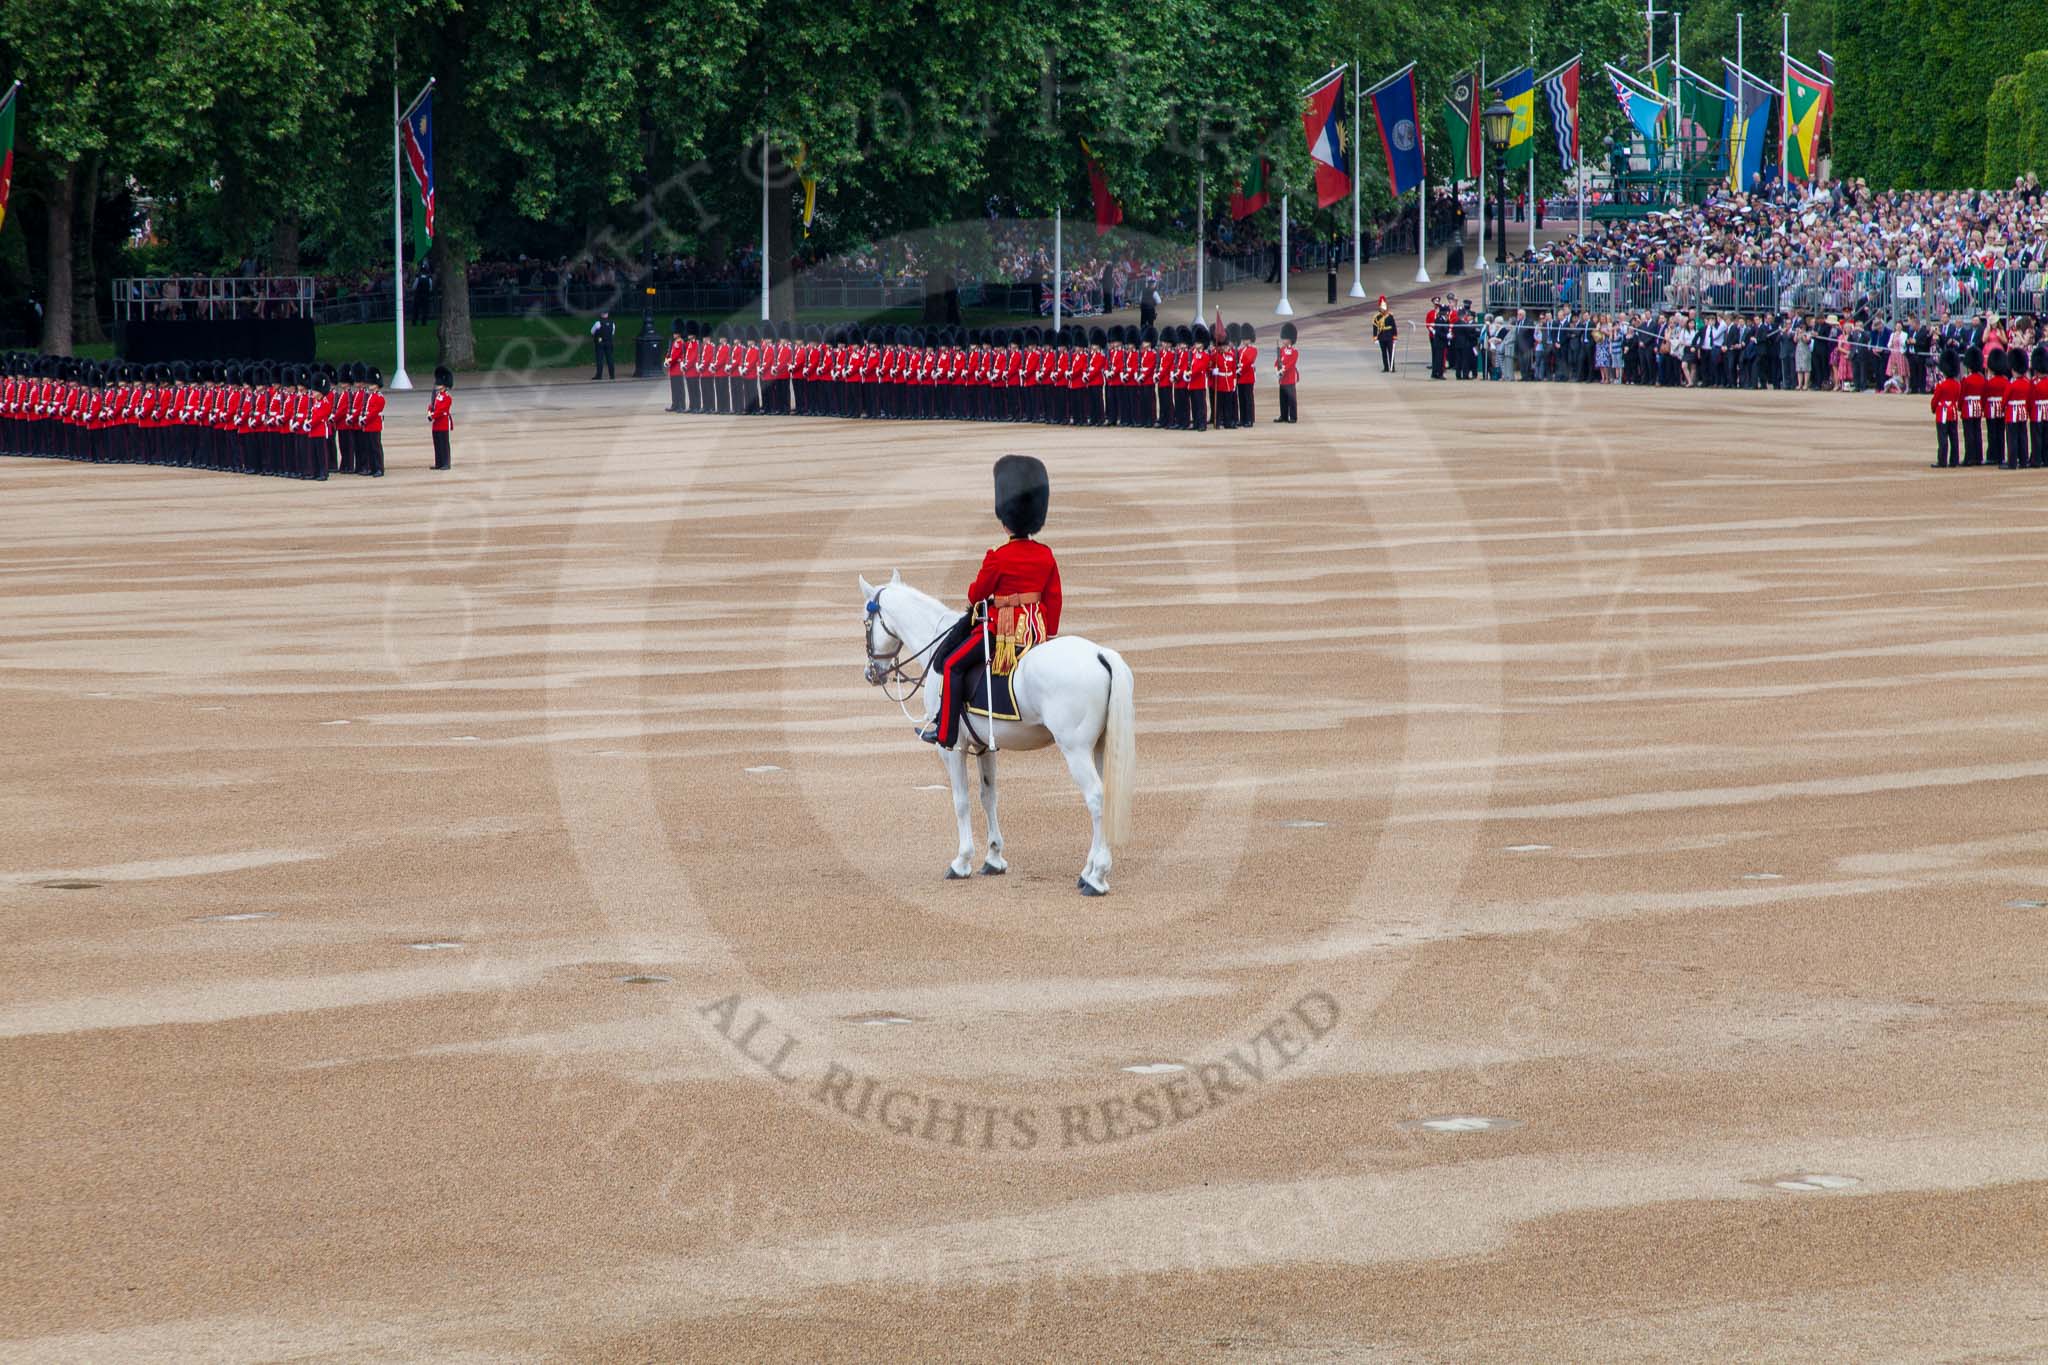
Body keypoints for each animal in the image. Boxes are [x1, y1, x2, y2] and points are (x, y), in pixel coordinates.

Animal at [851, 577, 1130, 896]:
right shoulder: (984, 746)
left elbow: (961, 801)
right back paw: (1088, 870)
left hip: (1075, 750)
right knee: (1104, 796)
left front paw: (962, 861)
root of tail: (1100, 654)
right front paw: (994, 858)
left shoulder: (953, 748)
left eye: (866, 621)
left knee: (1095, 797)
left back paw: (1097, 877)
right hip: (1098, 747)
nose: (871, 672)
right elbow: (988, 796)